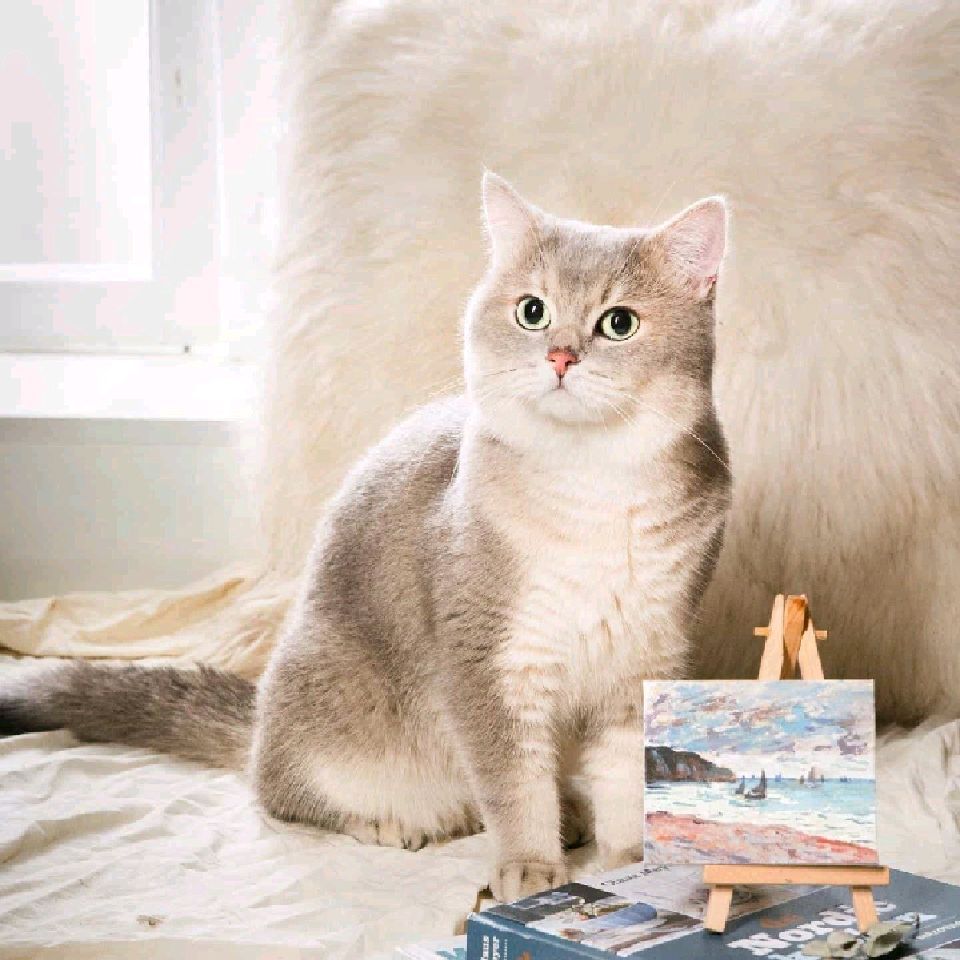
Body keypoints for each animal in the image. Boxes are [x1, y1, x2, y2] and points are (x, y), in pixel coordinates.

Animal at [0, 174, 731, 901]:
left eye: (619, 323)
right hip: (328, 710)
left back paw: (572, 815)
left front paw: (635, 862)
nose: (560, 356)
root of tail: (260, 718)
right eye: (532, 311)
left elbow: (624, 778)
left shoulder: (643, 658)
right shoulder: (488, 662)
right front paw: (530, 868)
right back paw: (390, 823)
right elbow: (512, 784)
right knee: (283, 794)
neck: (595, 489)